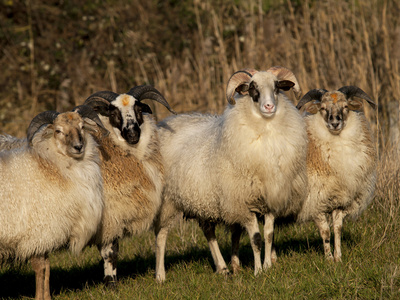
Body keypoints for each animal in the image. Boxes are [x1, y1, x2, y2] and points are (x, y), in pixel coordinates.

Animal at [0, 105, 108, 300]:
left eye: (82, 126)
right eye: (58, 131)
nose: (78, 147)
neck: (50, 167)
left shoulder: (46, 236)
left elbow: (47, 268)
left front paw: (47, 297)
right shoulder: (36, 235)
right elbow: (39, 268)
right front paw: (39, 297)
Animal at [294, 85, 378, 262]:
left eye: (345, 106)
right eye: (322, 108)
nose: (334, 122)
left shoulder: (339, 201)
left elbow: (338, 229)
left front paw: (338, 257)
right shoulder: (315, 202)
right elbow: (325, 232)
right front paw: (328, 259)